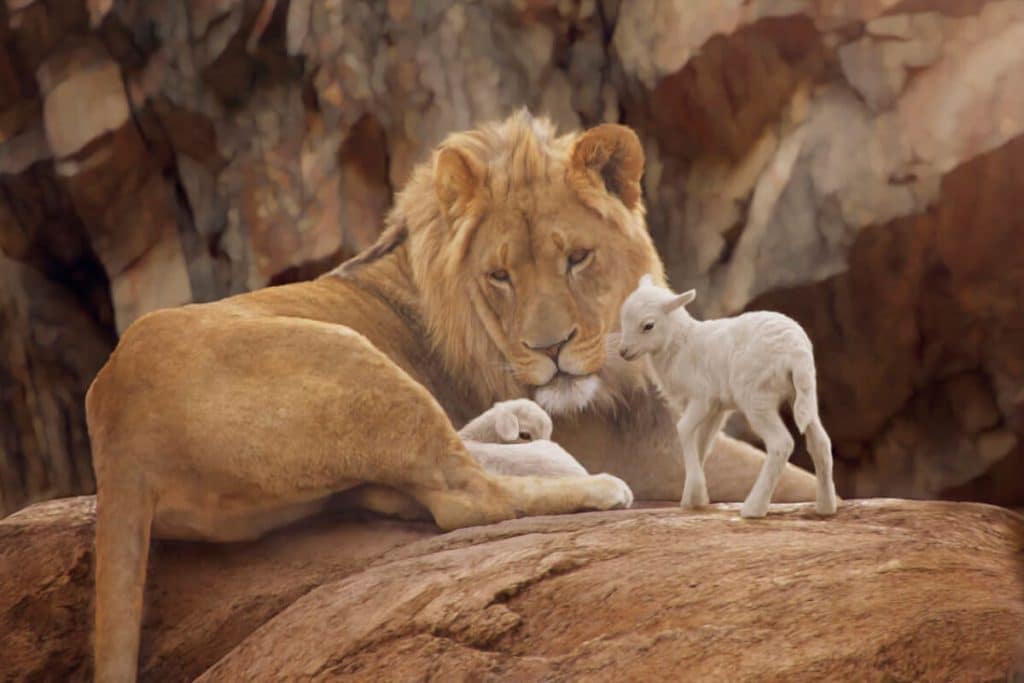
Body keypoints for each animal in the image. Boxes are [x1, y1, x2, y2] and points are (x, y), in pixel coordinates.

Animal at [617, 275, 838, 518]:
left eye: (648, 325)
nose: (623, 352)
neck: (680, 344)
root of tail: (796, 352)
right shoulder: (716, 409)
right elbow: (703, 444)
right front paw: (694, 497)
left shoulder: (701, 398)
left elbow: (683, 430)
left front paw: (695, 492)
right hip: (803, 393)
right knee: (820, 442)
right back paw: (826, 507)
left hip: (757, 397)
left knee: (781, 444)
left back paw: (753, 508)